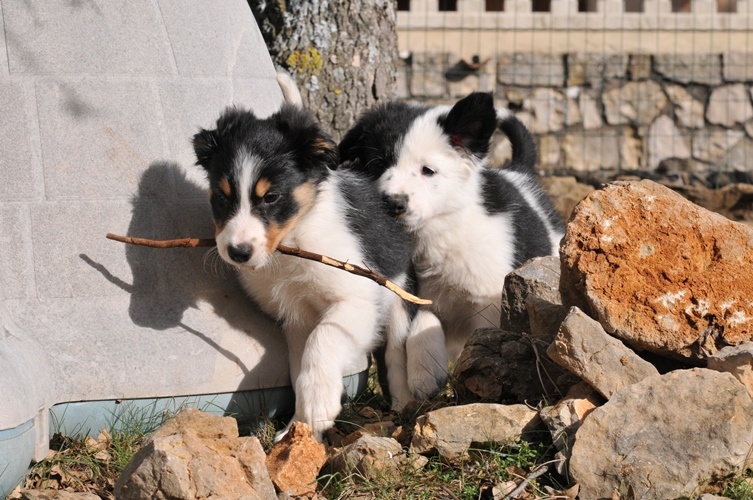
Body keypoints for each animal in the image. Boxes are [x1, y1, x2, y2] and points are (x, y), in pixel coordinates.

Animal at [194, 76, 440, 440]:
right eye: (221, 197)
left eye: (271, 197)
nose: (238, 252)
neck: (294, 241)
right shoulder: (297, 319)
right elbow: (300, 366)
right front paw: (299, 428)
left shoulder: (357, 299)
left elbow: (323, 340)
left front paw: (318, 407)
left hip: (398, 294)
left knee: (397, 353)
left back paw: (401, 407)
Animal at [338, 91, 560, 390]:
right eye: (378, 164)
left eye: (428, 171)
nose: (393, 203)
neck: (436, 233)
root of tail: (519, 172)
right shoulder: (413, 293)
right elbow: (422, 321)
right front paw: (425, 371)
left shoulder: (487, 303)